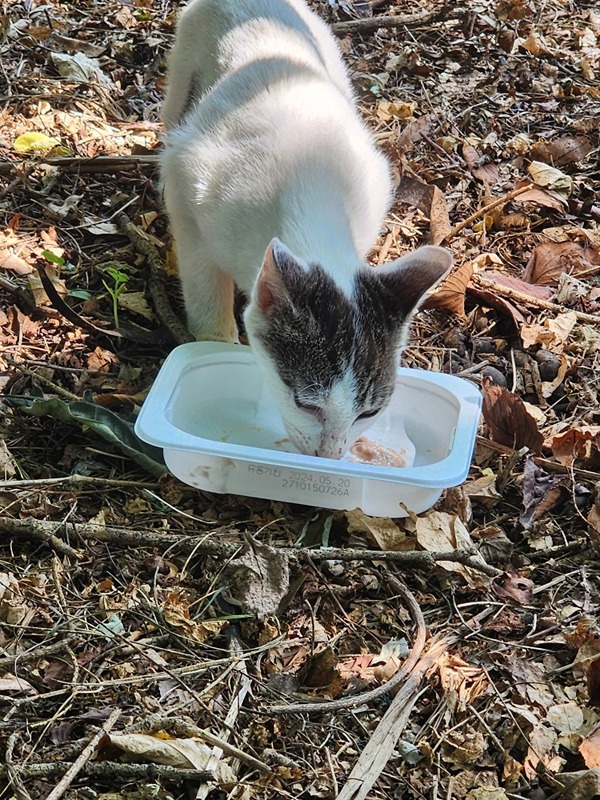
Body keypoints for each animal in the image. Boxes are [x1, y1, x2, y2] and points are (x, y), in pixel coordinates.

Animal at [159, 0, 450, 460]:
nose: (330, 455)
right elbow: (206, 297)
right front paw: (214, 347)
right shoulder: (189, 184)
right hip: (183, 79)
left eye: (369, 413)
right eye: (305, 403)